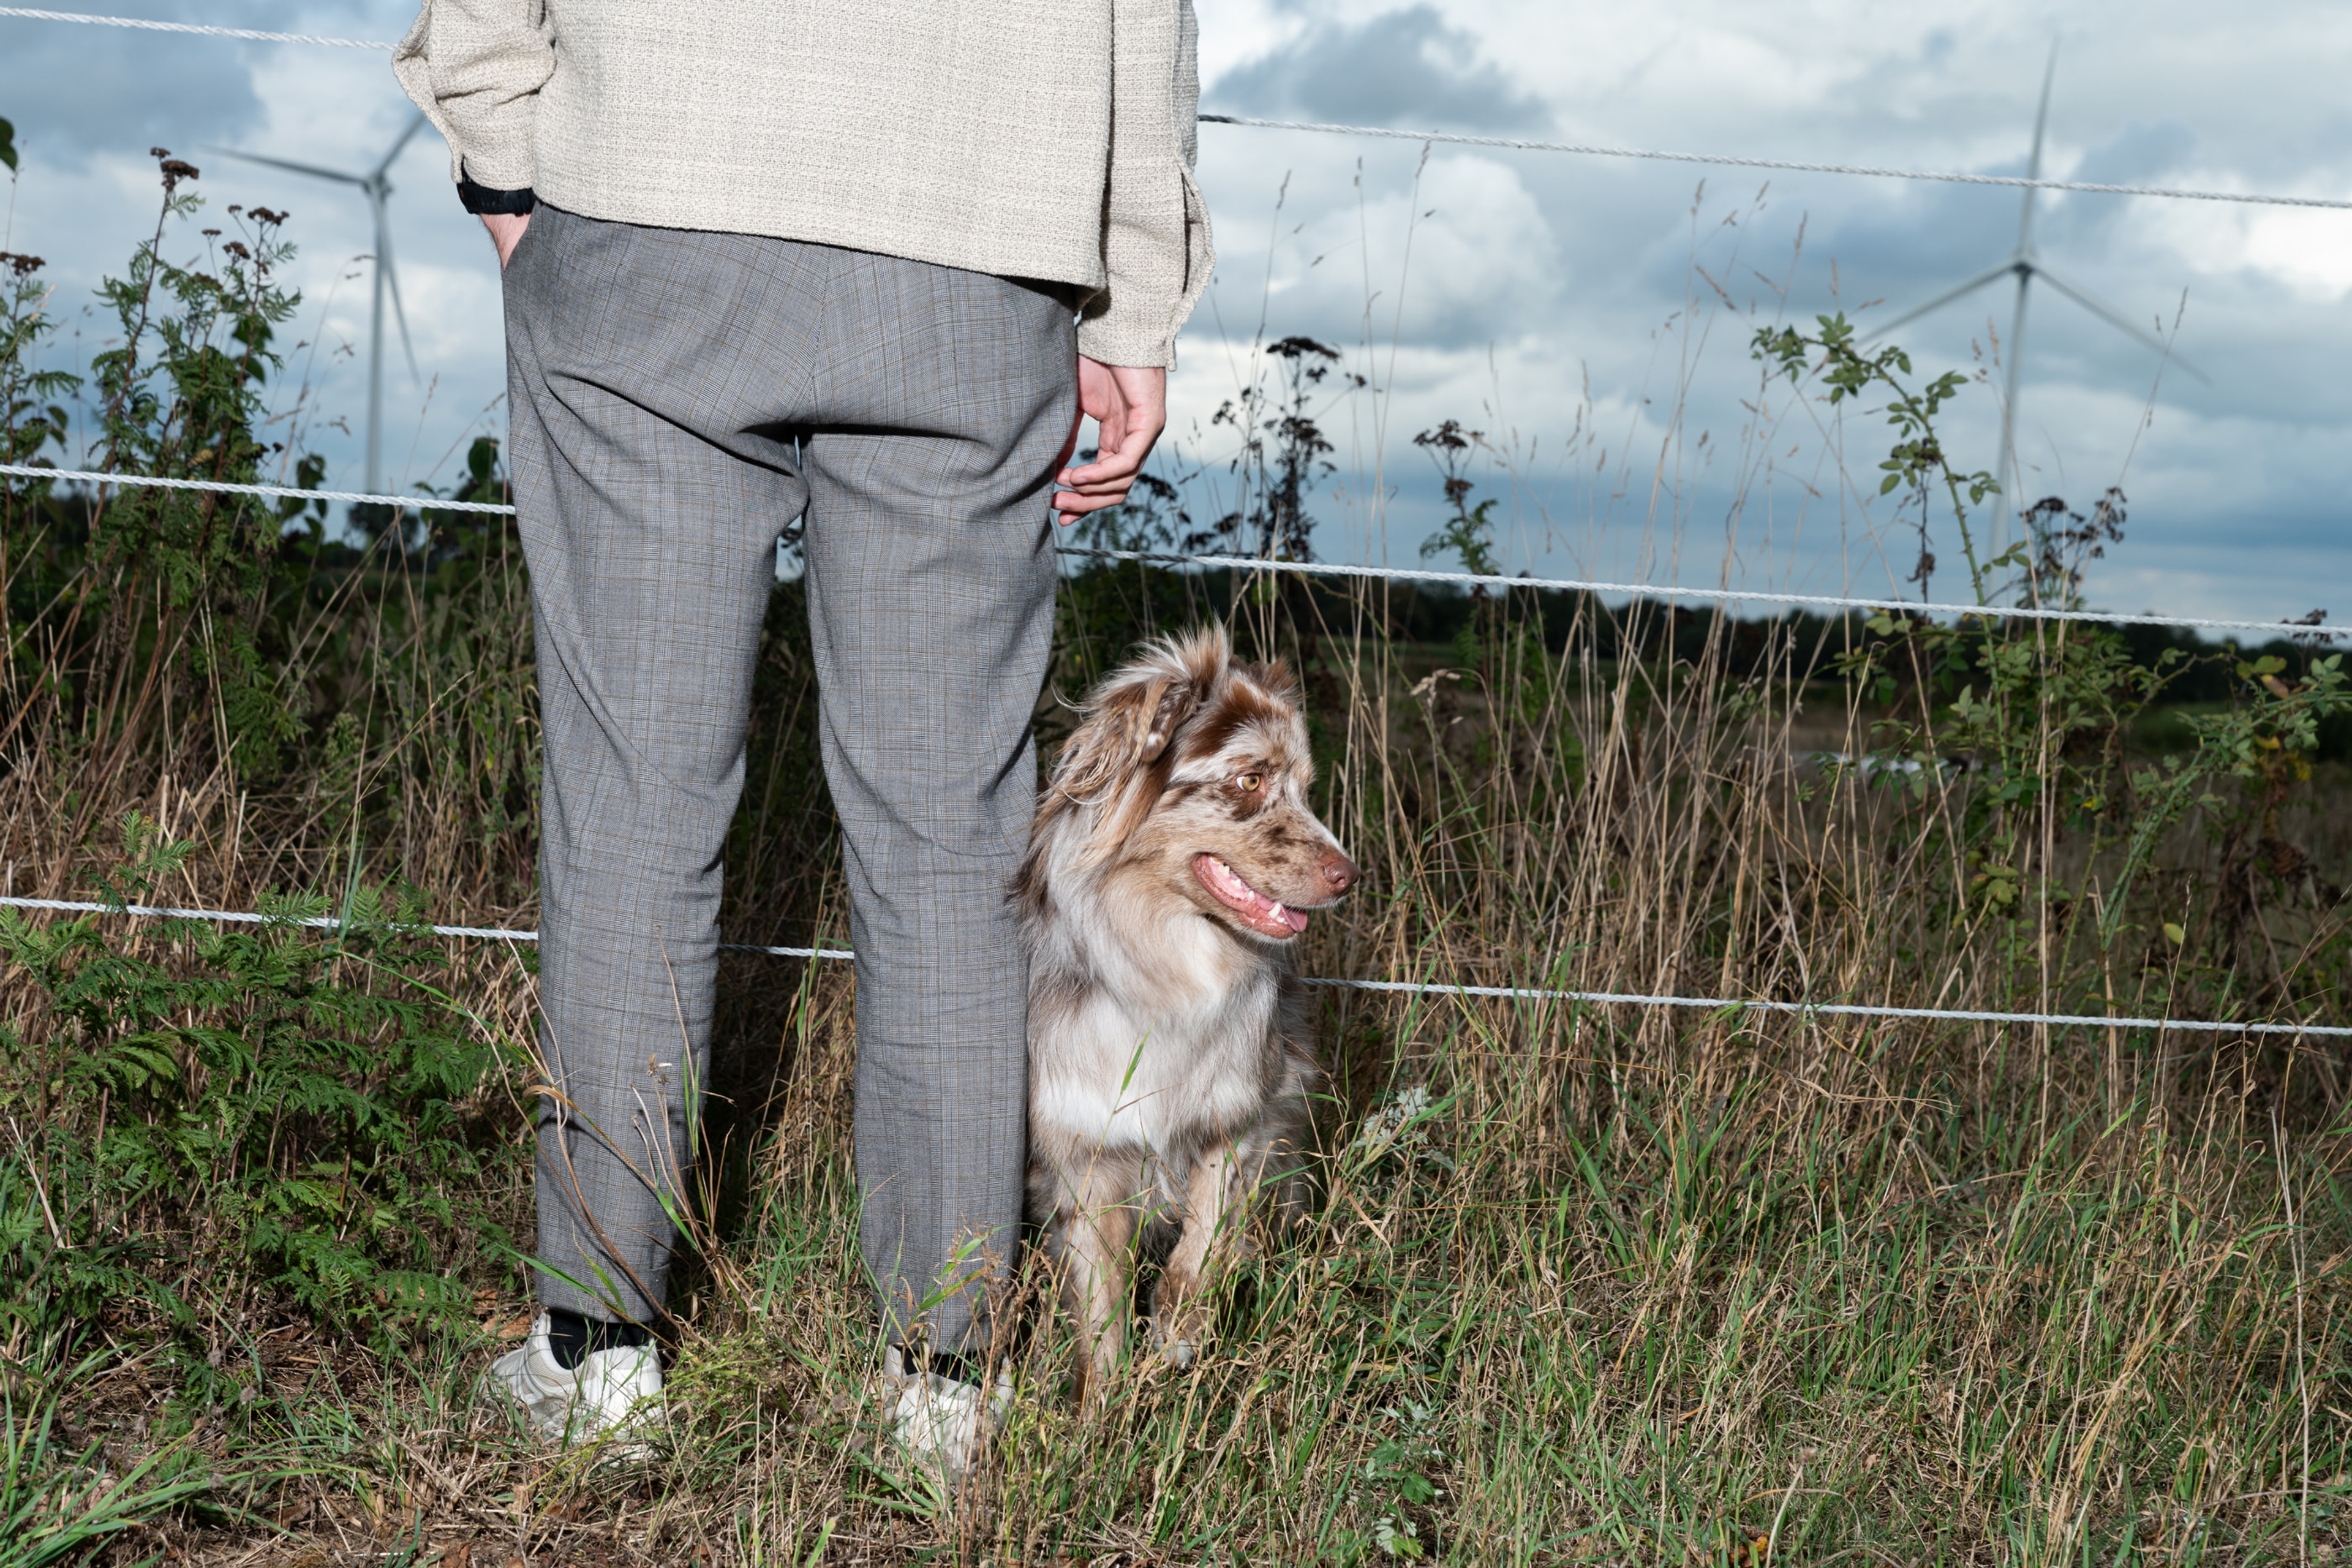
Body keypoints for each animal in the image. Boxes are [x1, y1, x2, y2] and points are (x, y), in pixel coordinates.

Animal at [1016, 620, 1364, 1401]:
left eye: (1306, 788)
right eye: (1250, 779)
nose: (1350, 876)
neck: (1170, 964)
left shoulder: (1240, 1120)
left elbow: (1200, 1248)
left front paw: (1178, 1331)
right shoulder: (1087, 1155)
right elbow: (1101, 1310)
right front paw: (1103, 1409)